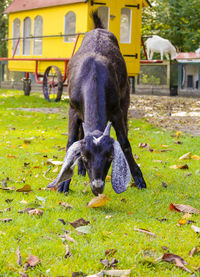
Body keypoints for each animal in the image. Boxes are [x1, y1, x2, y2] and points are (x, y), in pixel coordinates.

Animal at [47, 12, 146, 194]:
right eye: (85, 156)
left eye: (110, 156)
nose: (97, 186)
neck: (92, 76)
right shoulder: (73, 109)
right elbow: (72, 141)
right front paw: (64, 183)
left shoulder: (116, 110)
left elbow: (125, 142)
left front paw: (138, 178)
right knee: (80, 133)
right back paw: (80, 170)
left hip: (125, 100)